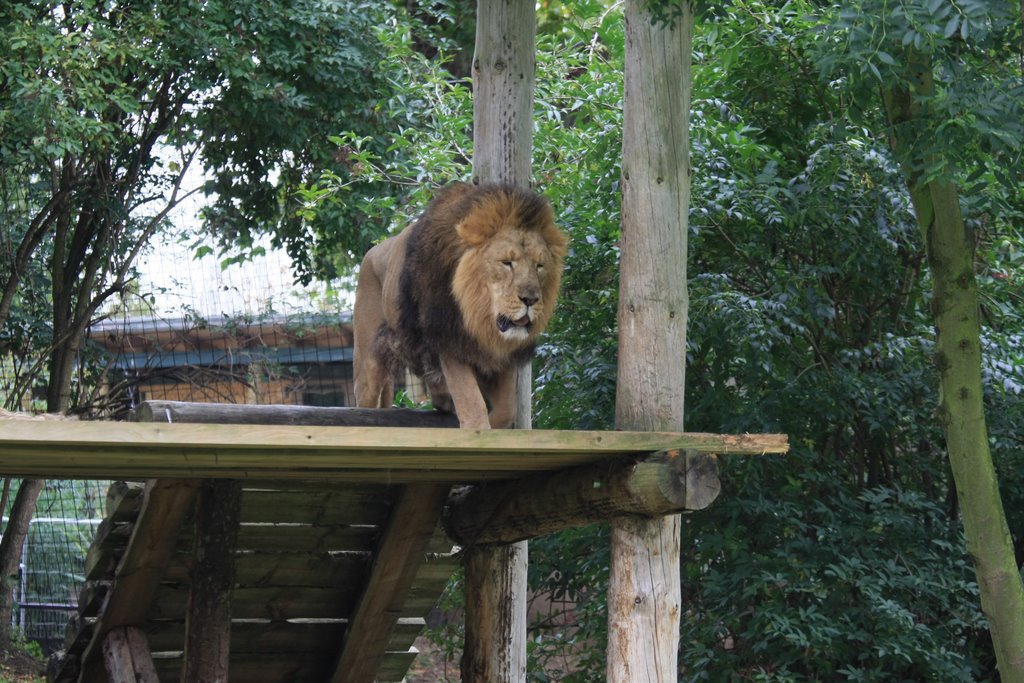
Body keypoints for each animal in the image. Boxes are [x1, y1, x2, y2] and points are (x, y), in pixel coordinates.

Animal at [354, 181, 569, 428]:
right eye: (506, 263)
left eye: (539, 266)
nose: (531, 299)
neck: (478, 316)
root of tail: (373, 250)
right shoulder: (449, 338)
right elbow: (471, 398)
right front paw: (477, 427)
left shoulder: (502, 354)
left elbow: (507, 410)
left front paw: (490, 424)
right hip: (368, 364)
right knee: (363, 402)